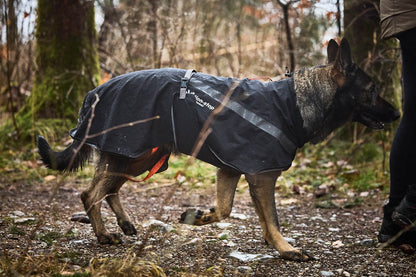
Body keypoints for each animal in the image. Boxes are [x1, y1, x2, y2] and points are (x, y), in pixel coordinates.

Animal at [38, 39, 400, 260]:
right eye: (372, 90)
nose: (398, 114)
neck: (295, 102)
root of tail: (96, 91)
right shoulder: (262, 176)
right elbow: (272, 218)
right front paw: (286, 249)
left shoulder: (231, 169)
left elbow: (225, 210)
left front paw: (200, 216)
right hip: (131, 152)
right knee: (90, 194)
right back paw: (103, 235)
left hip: (140, 155)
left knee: (109, 189)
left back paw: (124, 223)